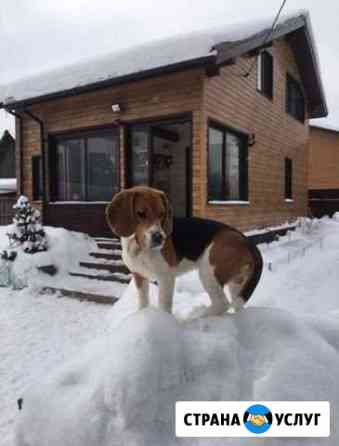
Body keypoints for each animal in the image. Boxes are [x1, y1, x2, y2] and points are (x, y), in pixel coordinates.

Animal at [106, 186, 262, 316]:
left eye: (162, 214)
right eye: (140, 213)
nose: (159, 237)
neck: (139, 246)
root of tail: (247, 240)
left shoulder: (166, 277)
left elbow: (164, 305)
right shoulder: (139, 276)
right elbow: (143, 302)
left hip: (209, 271)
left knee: (221, 304)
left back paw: (194, 318)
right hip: (236, 283)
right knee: (236, 305)